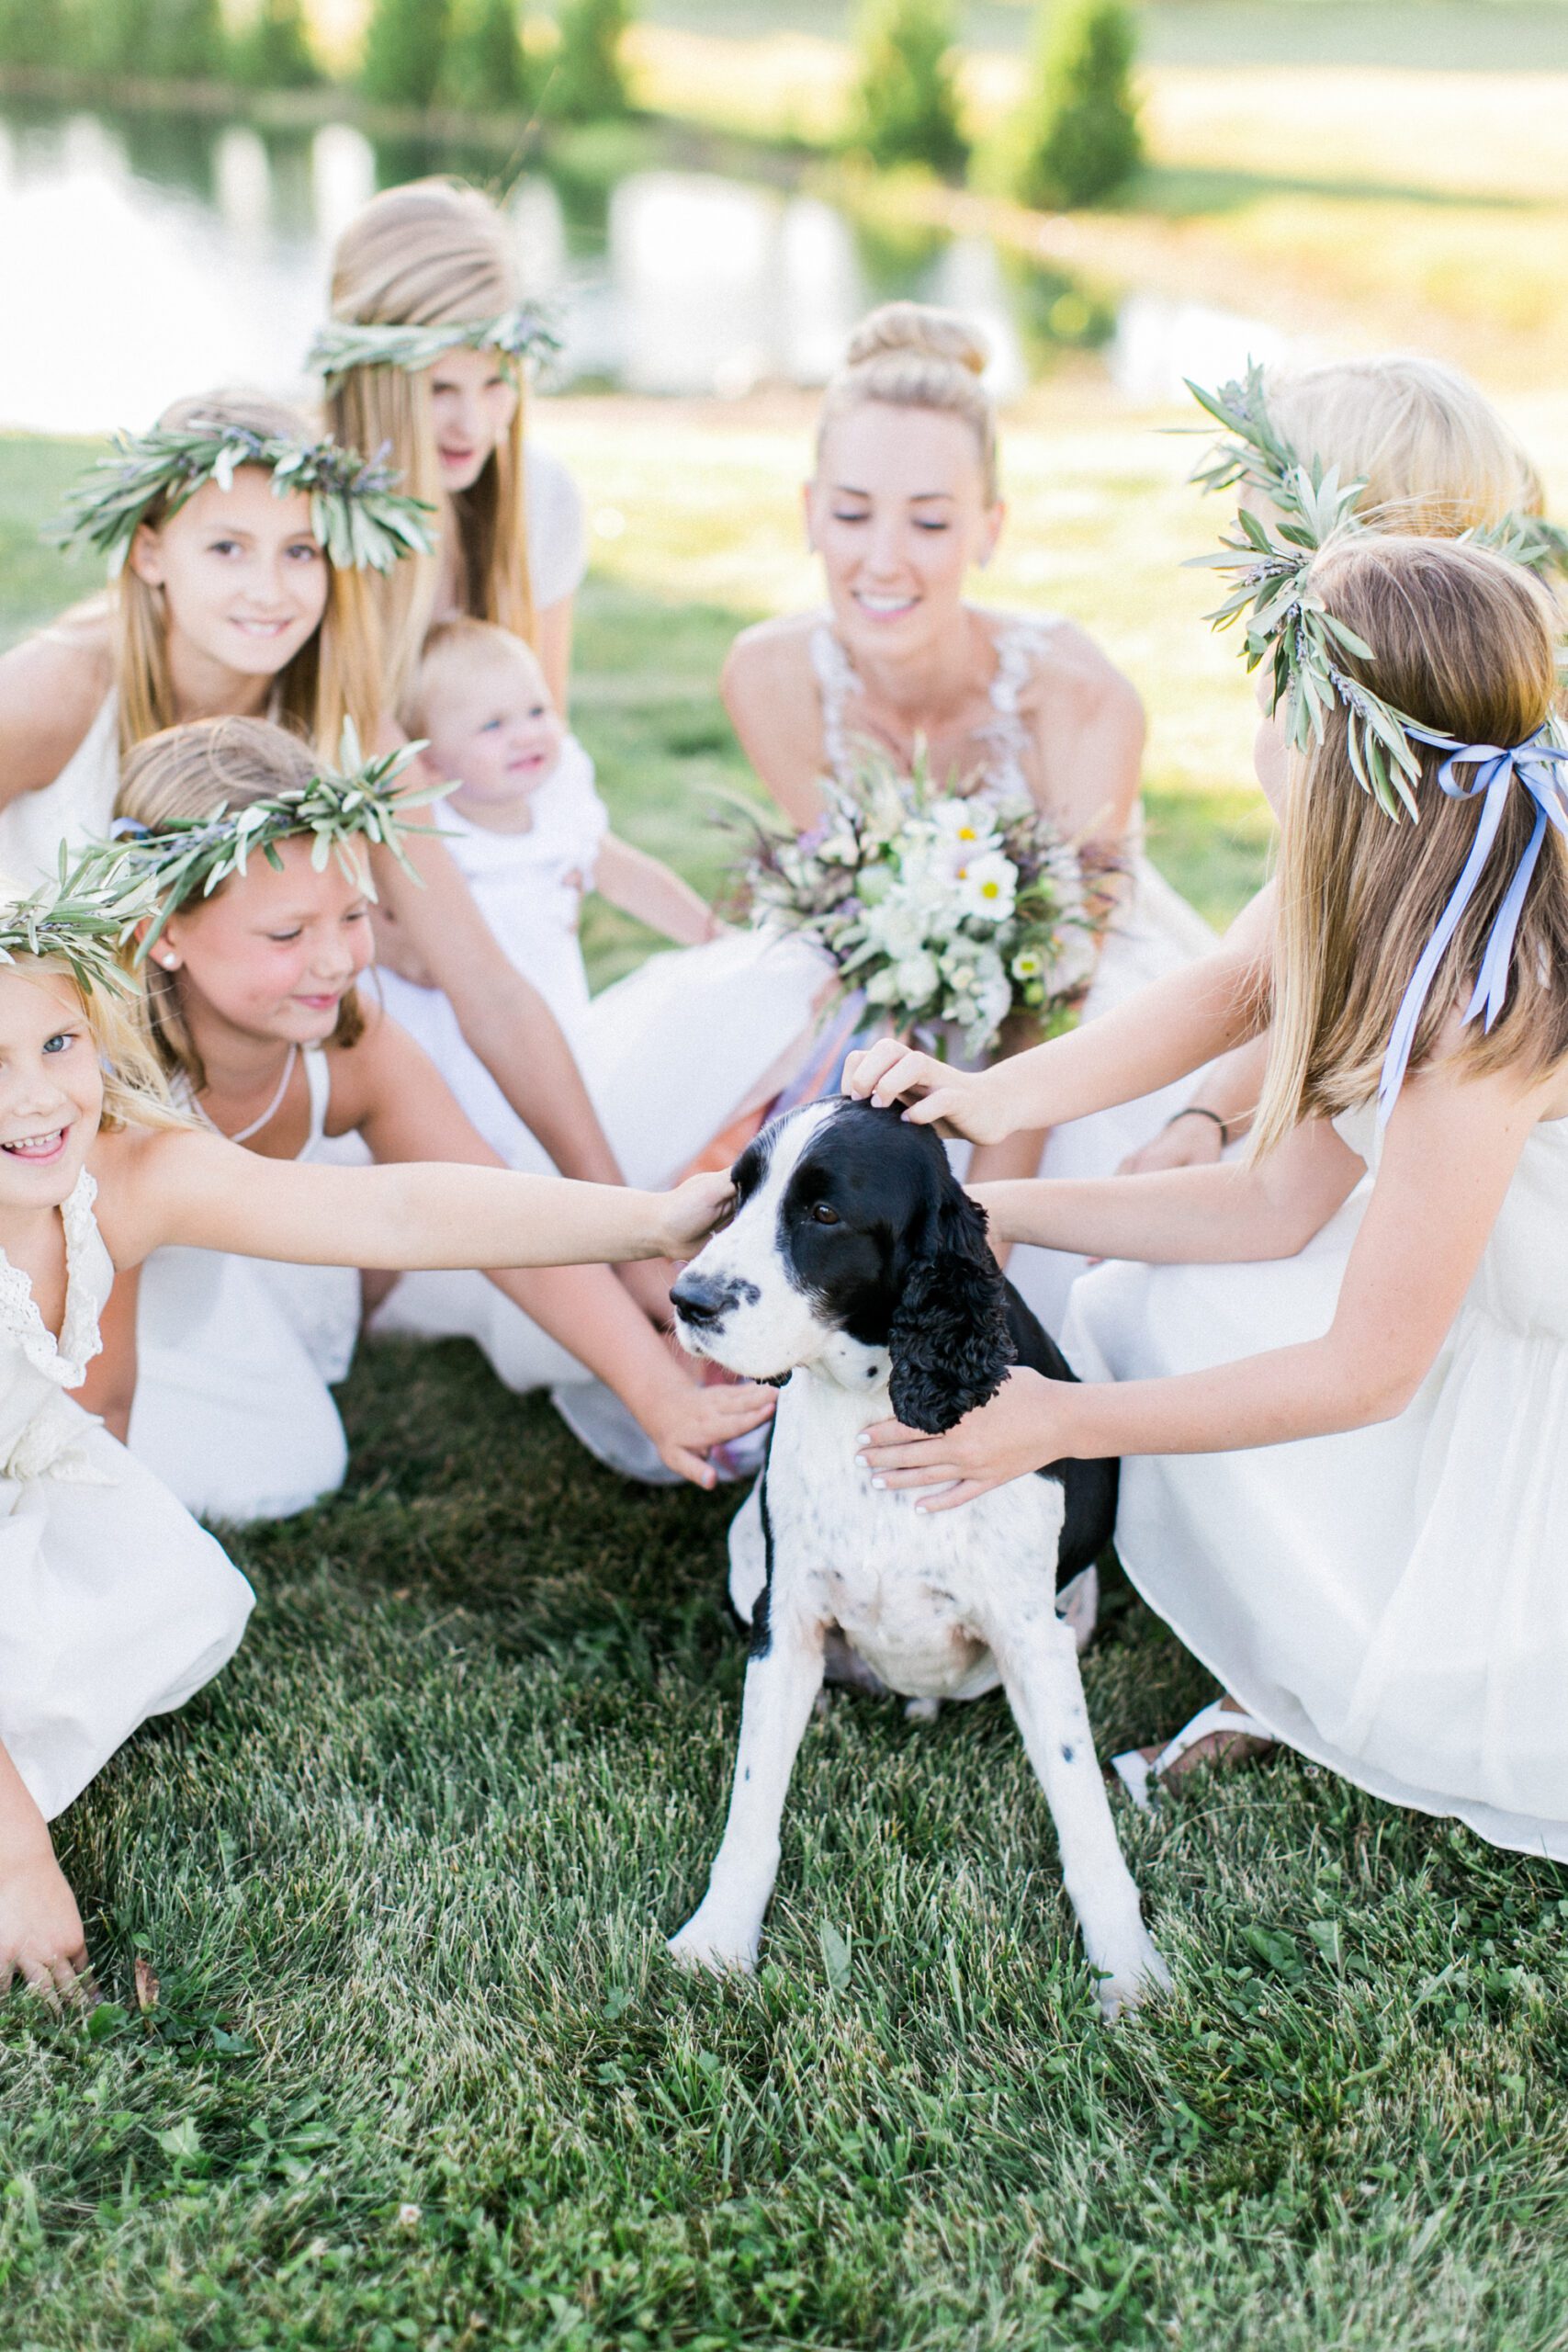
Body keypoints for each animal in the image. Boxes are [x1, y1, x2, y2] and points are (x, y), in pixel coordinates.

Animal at [667, 1091, 1170, 2013]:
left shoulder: (1033, 1635)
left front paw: (1128, 1968)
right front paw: (718, 1940)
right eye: (737, 1192)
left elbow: (1084, 1811)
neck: (873, 1396)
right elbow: (753, 1801)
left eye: (823, 1213)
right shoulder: (786, 1617)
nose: (687, 1299)